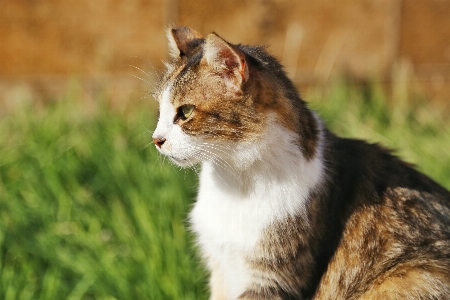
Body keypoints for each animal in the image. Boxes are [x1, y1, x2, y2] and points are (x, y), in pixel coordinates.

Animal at [152, 27, 450, 298]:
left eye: (185, 111)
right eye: (160, 110)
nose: (156, 139)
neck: (235, 181)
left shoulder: (272, 278)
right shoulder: (221, 267)